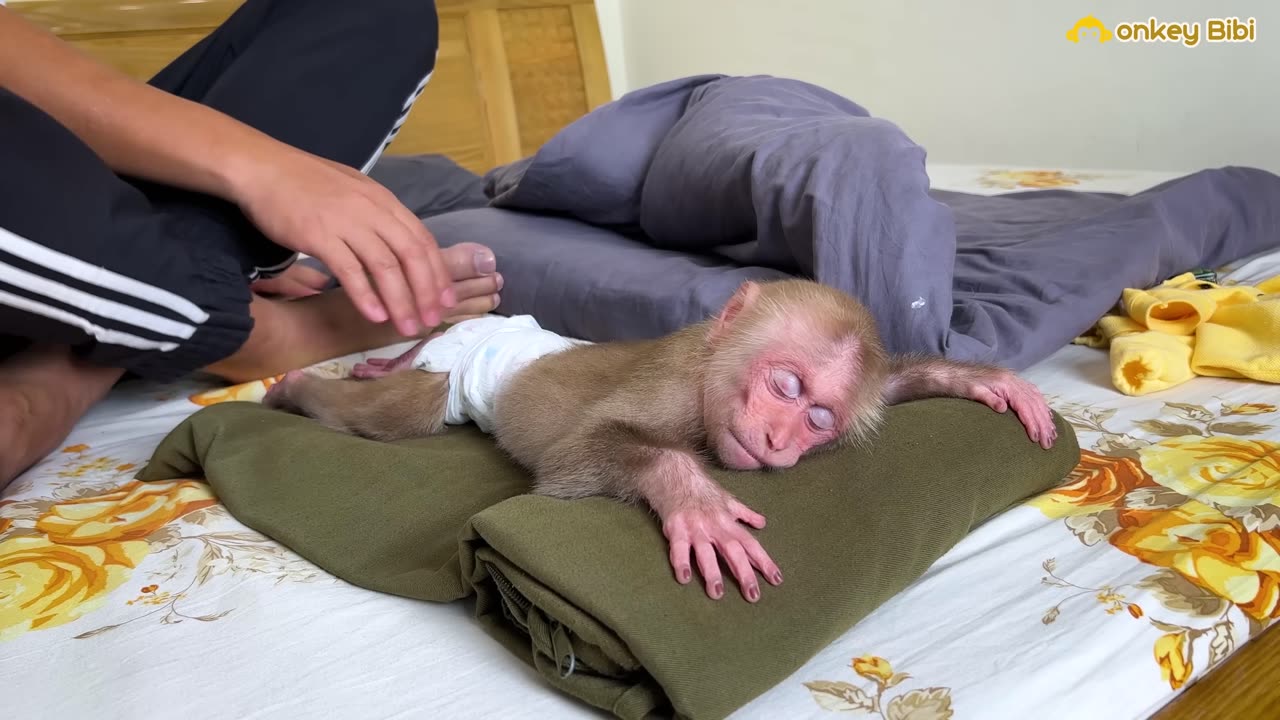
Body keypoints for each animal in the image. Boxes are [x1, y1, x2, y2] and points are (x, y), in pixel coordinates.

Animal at [264, 279, 1054, 599]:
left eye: (819, 419)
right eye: (786, 387)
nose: (779, 439)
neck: (709, 380)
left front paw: (972, 379)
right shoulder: (675, 385)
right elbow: (569, 461)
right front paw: (687, 493)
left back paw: (379, 360)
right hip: (447, 376)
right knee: (393, 415)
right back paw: (301, 391)